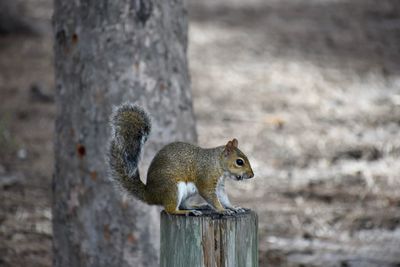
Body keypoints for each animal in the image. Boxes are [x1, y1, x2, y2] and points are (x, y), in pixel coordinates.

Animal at [108, 103, 255, 217]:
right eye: (239, 162)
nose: (252, 175)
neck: (217, 163)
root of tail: (150, 194)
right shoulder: (206, 178)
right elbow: (211, 197)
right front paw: (222, 210)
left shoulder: (219, 186)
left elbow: (223, 198)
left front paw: (233, 207)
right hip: (172, 188)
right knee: (170, 209)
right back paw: (186, 212)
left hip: (185, 192)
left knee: (183, 205)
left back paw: (197, 207)